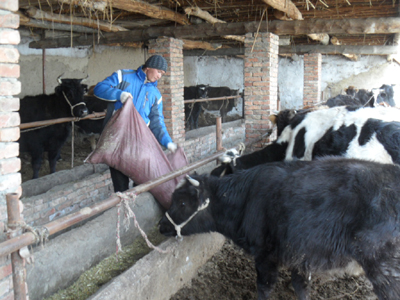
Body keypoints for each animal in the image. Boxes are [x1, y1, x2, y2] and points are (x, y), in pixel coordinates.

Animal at [161, 157, 400, 300]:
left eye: (182, 202)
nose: (161, 225)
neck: (247, 198)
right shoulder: (300, 255)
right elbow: (301, 286)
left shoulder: (265, 254)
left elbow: (264, 287)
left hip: (384, 269)